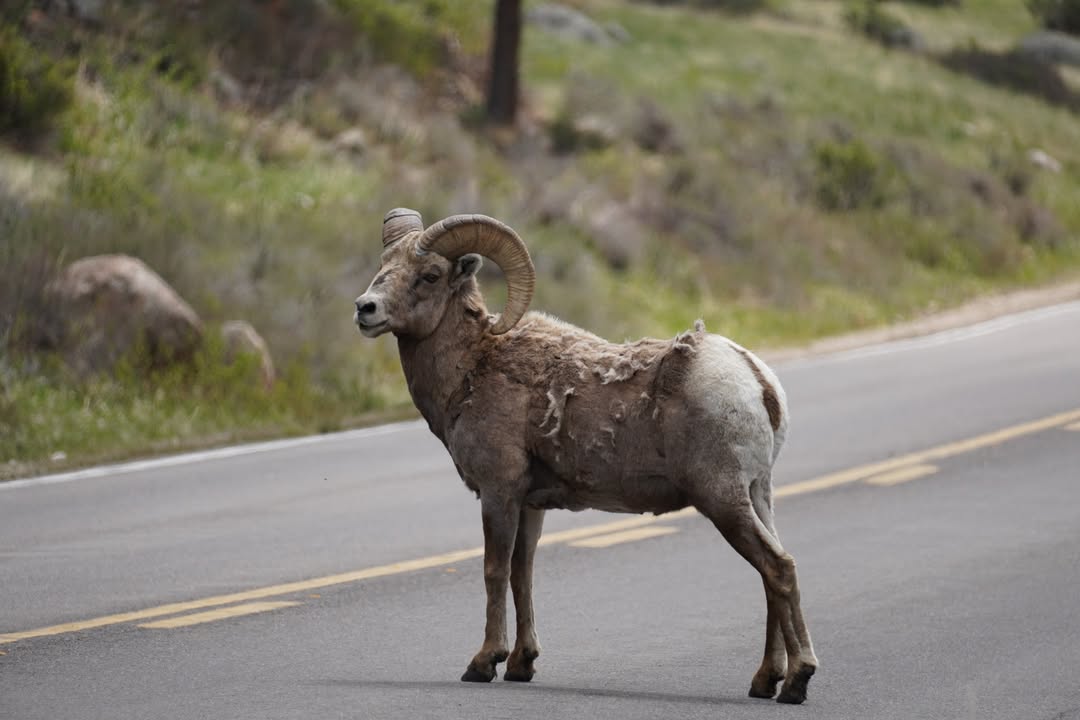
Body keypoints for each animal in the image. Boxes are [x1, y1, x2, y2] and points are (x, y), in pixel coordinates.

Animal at [353, 209, 819, 704]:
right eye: (384, 264)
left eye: (430, 275)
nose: (365, 309)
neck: (471, 367)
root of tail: (758, 381)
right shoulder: (530, 504)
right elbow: (522, 573)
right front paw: (521, 664)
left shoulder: (498, 492)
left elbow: (494, 571)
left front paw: (483, 663)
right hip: (757, 495)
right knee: (772, 575)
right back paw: (764, 680)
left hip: (722, 498)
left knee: (778, 568)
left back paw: (796, 681)